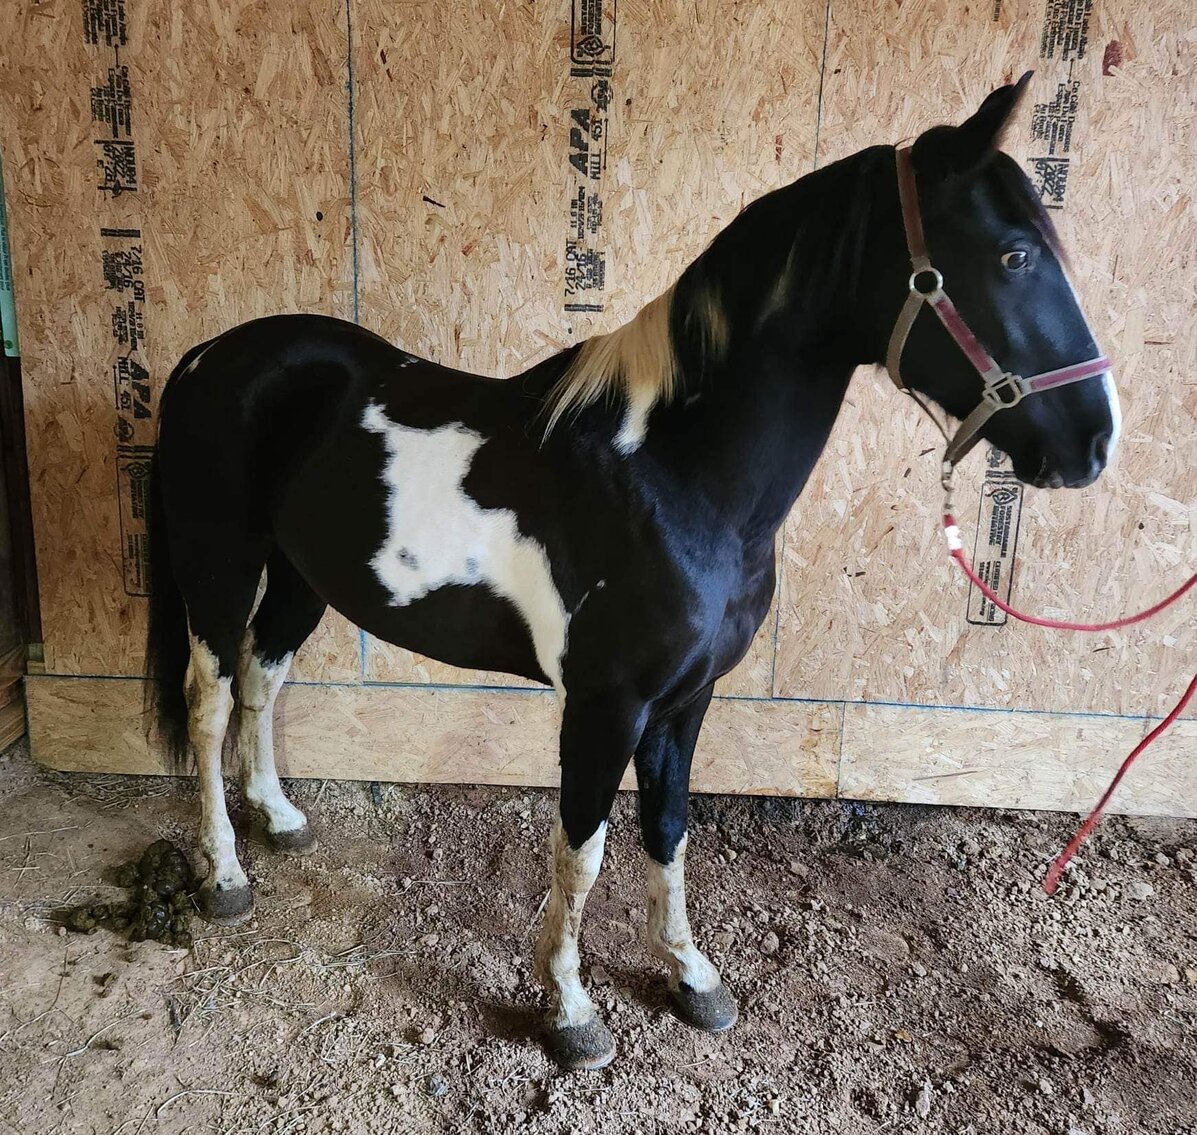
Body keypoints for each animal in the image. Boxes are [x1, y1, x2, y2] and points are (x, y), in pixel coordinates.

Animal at [144, 74, 1119, 1071]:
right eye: (1011, 255)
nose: (1091, 440)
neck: (671, 476)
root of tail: (207, 358)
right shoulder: (604, 702)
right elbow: (581, 848)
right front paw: (570, 1009)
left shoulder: (686, 700)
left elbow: (668, 829)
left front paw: (692, 977)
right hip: (219, 564)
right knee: (210, 698)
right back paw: (225, 874)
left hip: (303, 577)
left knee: (262, 677)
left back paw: (278, 817)